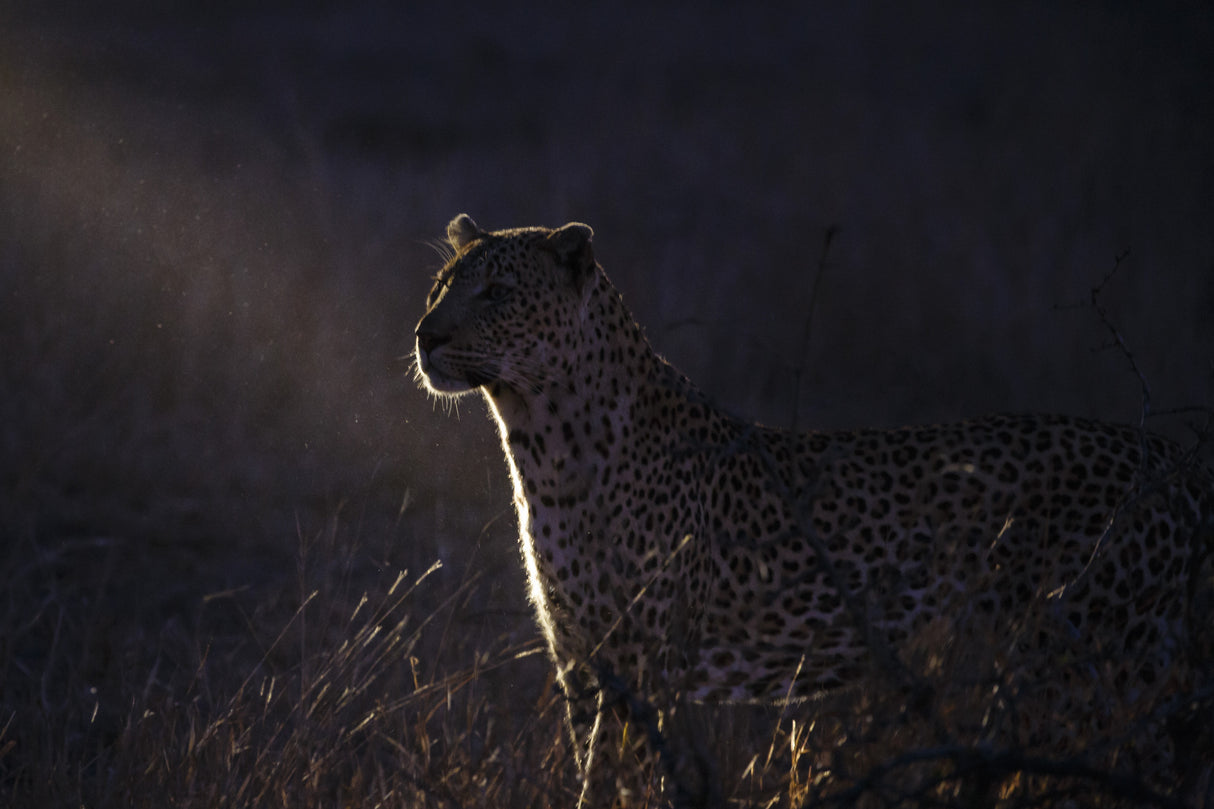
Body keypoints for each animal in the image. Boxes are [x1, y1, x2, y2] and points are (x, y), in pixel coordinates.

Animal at [413, 214, 1213, 808]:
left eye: (496, 292)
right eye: (441, 287)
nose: (426, 335)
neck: (542, 445)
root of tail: (1172, 456)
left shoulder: (645, 665)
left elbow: (622, 780)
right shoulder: (582, 658)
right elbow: (597, 772)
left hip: (1103, 667)